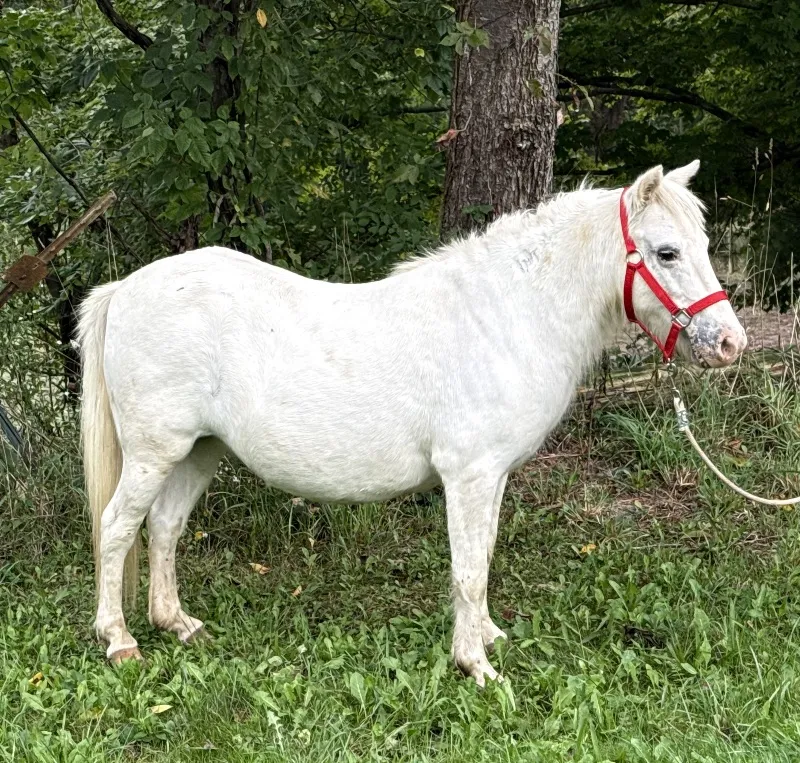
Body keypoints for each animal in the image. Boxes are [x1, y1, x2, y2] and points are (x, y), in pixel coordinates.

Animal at [78, 161, 746, 685]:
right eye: (667, 252)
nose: (730, 344)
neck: (506, 317)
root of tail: (125, 288)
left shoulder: (494, 477)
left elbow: (484, 557)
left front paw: (488, 636)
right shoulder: (469, 476)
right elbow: (468, 568)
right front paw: (475, 665)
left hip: (200, 450)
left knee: (164, 527)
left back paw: (178, 624)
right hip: (154, 452)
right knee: (116, 528)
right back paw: (120, 641)